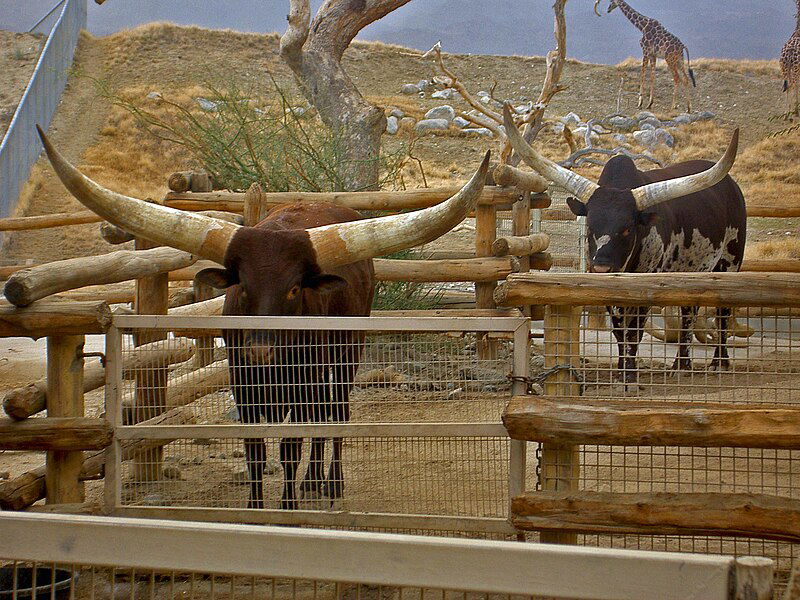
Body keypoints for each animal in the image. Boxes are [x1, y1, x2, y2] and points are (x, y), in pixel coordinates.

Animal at [39, 126, 494, 510]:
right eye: (243, 286)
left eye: (294, 289)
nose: (260, 350)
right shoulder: (243, 385)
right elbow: (255, 451)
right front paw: (257, 506)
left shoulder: (300, 381)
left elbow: (290, 446)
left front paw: (288, 506)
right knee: (321, 414)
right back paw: (313, 482)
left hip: (347, 348)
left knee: (336, 411)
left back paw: (330, 483)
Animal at [504, 105, 748, 382]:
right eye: (590, 227)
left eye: (627, 229)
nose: (601, 267)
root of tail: (732, 186)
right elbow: (619, 331)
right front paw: (621, 368)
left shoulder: (646, 287)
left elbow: (634, 331)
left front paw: (630, 374)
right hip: (692, 270)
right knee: (689, 311)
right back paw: (681, 364)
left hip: (729, 262)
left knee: (723, 313)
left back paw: (719, 362)